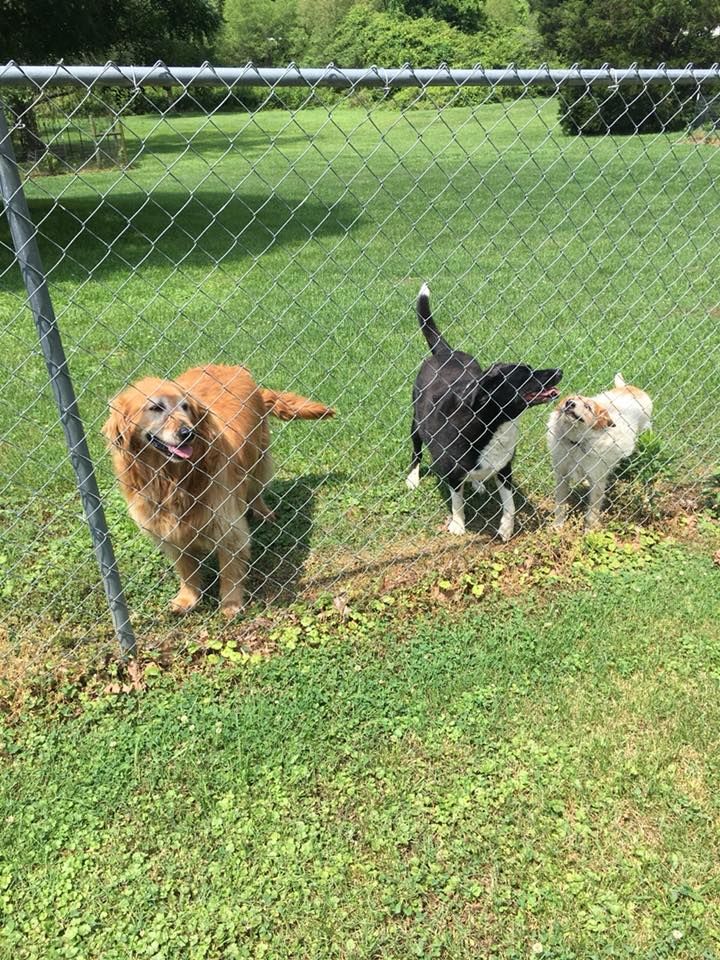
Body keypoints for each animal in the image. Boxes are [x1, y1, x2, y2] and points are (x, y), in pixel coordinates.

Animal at [103, 363, 333, 617]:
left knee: (256, 488)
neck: (172, 479)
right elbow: (186, 570)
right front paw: (188, 598)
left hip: (258, 455)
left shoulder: (227, 524)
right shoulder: (169, 531)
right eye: (155, 407)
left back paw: (264, 513)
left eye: (185, 406)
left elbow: (229, 571)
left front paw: (231, 604)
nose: (188, 433)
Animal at [406, 284, 563, 539]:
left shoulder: (505, 469)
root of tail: (446, 353)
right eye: (527, 374)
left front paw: (506, 528)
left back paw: (478, 484)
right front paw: (458, 525)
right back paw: (412, 477)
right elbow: (457, 503)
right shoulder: (452, 472)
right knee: (416, 450)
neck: (494, 424)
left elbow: (510, 505)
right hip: (415, 423)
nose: (559, 371)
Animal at [547, 373, 653, 529]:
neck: (576, 443)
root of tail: (627, 387)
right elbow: (560, 505)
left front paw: (589, 531)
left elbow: (592, 513)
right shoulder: (562, 475)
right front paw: (557, 526)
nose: (570, 403)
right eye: (570, 399)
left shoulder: (597, 482)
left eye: (588, 407)